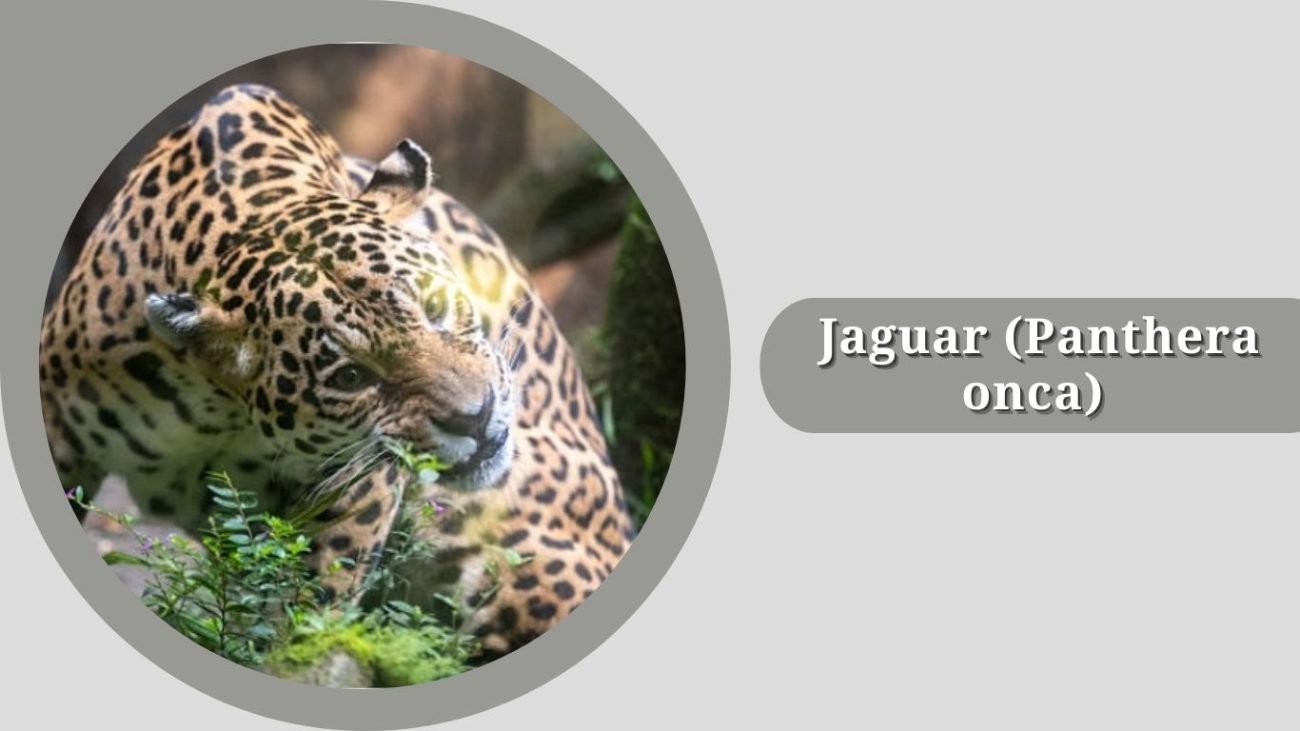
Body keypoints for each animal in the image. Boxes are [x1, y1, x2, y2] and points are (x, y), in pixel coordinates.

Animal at [38, 83, 635, 660]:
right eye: (351, 378)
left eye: (436, 305)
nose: (477, 416)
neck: (222, 406)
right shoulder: (59, 425)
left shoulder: (357, 479)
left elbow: (314, 595)